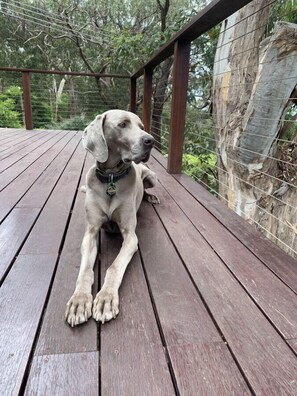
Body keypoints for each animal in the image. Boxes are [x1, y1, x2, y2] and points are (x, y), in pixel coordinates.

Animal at [64, 110, 158, 326]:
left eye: (141, 126)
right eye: (122, 124)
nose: (151, 140)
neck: (111, 178)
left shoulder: (131, 236)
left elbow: (114, 268)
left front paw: (106, 298)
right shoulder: (90, 233)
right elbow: (85, 271)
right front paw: (79, 301)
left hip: (152, 176)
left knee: (148, 188)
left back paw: (151, 197)